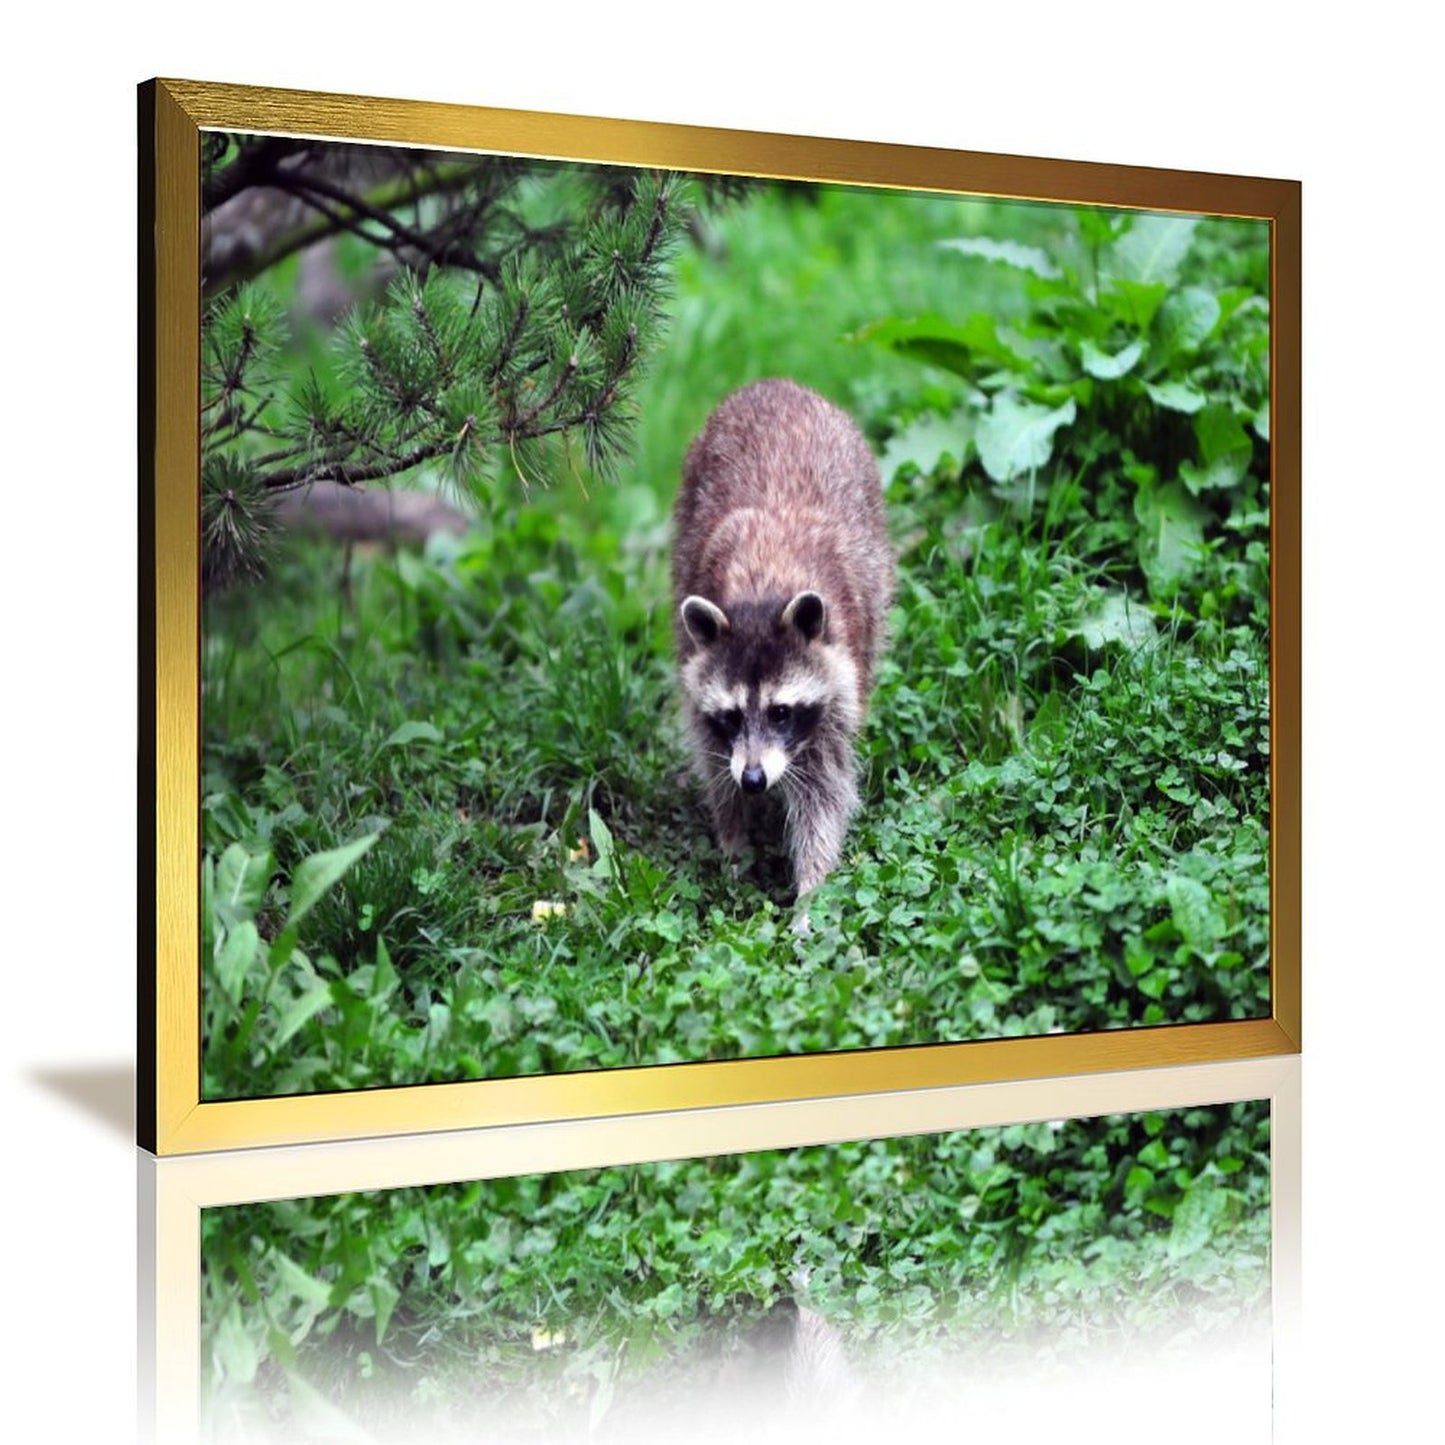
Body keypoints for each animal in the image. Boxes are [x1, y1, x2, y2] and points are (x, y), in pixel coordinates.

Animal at [672, 378, 894, 895]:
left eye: (780, 712)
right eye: (732, 716)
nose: (754, 778)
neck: (762, 591)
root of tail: (773, 384)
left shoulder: (837, 681)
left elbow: (825, 792)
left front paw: (813, 888)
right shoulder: (697, 675)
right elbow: (716, 766)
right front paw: (734, 841)